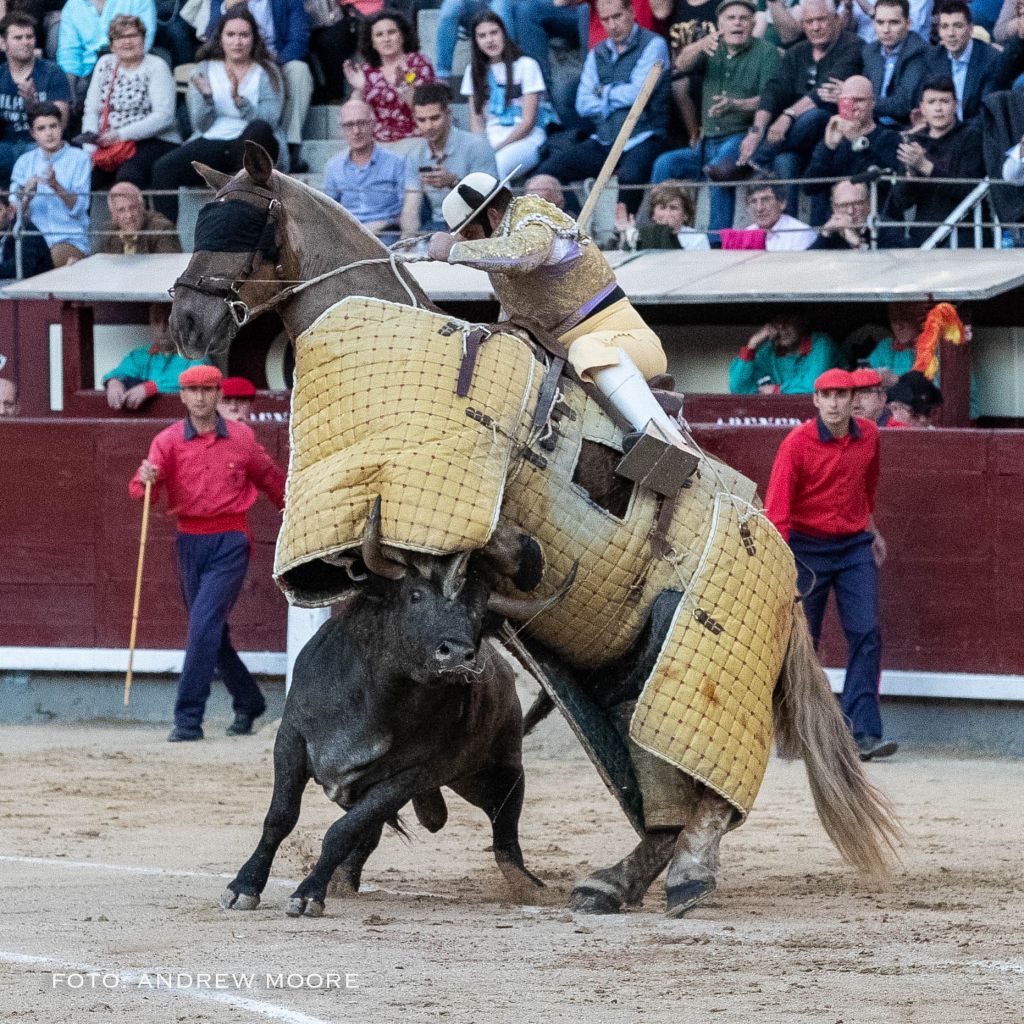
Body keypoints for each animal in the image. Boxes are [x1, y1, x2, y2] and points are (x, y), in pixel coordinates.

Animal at [171, 142, 902, 918]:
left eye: (242, 224)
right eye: (201, 219)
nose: (186, 319)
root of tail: (788, 580)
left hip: (691, 655)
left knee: (703, 795)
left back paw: (688, 875)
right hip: (618, 679)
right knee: (657, 795)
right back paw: (614, 882)